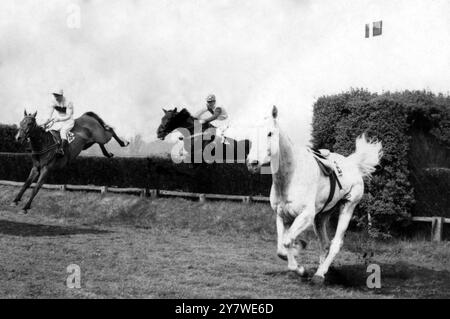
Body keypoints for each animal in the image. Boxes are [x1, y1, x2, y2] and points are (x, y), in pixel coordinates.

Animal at [246, 107, 384, 284]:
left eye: (270, 133)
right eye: (250, 135)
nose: (252, 163)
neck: (291, 177)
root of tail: (353, 164)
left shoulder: (306, 215)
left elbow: (287, 242)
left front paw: (301, 268)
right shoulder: (282, 216)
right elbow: (281, 248)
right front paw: (298, 256)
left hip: (348, 206)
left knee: (335, 243)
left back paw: (320, 274)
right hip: (321, 216)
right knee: (324, 243)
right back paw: (323, 269)